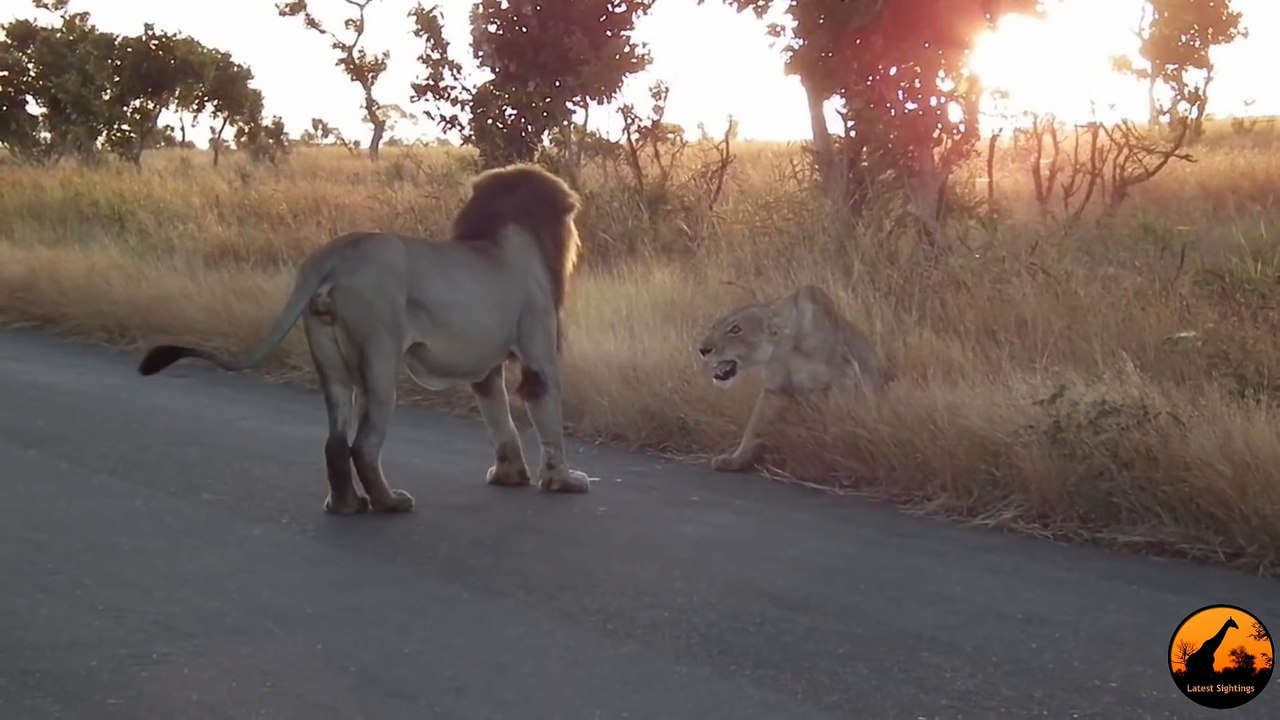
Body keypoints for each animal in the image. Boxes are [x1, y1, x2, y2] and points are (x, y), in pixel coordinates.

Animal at [136, 162, 593, 515]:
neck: (509, 237)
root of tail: (338, 253)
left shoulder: (486, 367)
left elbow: (499, 419)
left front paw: (509, 475)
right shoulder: (538, 352)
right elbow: (547, 416)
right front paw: (565, 481)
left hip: (330, 361)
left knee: (335, 442)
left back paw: (346, 505)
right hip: (380, 357)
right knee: (364, 445)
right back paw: (390, 503)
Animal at [696, 284, 893, 473]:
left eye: (735, 329)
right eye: (714, 326)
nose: (703, 349)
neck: (786, 347)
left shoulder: (844, 373)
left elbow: (838, 421)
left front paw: (836, 454)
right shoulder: (775, 389)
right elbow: (753, 427)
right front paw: (735, 460)